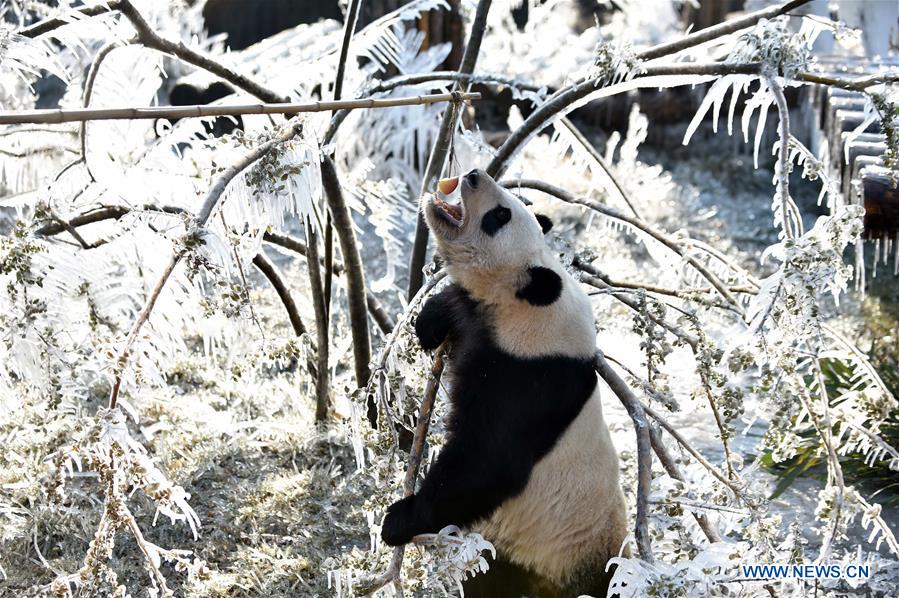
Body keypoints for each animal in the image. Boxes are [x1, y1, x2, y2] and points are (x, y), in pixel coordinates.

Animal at [384, 166, 628, 596]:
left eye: (499, 216)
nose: (474, 174)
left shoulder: (527, 378)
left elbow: (486, 463)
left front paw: (401, 518)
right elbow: (455, 307)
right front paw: (430, 319)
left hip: (550, 554)